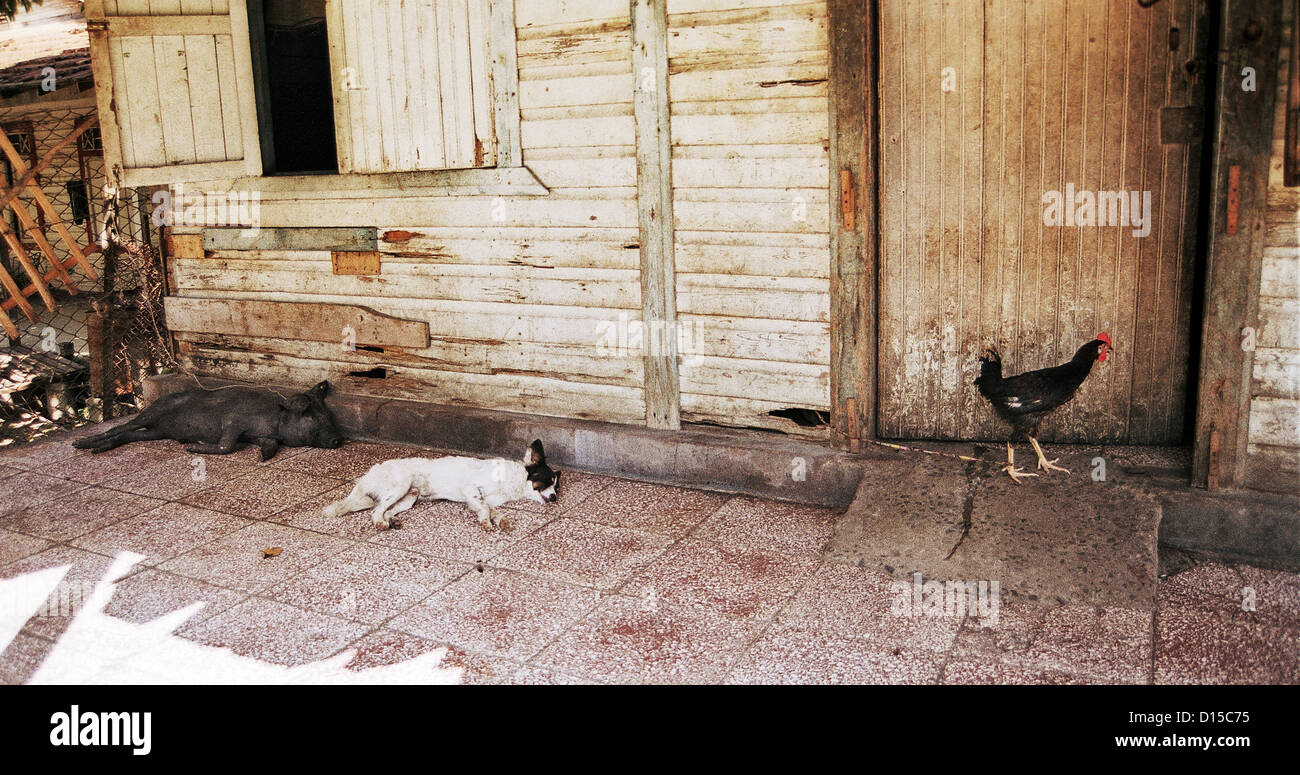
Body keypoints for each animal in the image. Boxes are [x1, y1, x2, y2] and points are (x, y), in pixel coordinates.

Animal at [72, 382, 345, 460]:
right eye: (310, 415)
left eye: (328, 415)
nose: (337, 440)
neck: (275, 420)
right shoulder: (233, 421)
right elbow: (227, 446)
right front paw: (193, 448)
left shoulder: (262, 436)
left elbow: (269, 446)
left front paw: (261, 457)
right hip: (152, 412)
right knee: (120, 427)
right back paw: (83, 445)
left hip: (154, 432)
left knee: (127, 434)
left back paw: (96, 449)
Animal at [325, 439, 559, 530]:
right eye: (548, 481)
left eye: (557, 487)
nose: (555, 497)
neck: (514, 480)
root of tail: (368, 474)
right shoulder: (471, 489)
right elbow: (484, 508)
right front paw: (487, 522)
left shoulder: (483, 499)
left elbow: (492, 510)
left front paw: (500, 520)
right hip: (401, 486)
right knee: (375, 511)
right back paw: (381, 523)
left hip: (409, 497)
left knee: (386, 510)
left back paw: (392, 521)